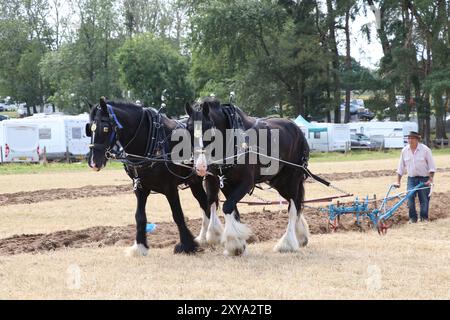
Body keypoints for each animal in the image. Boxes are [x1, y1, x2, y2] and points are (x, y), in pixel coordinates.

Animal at [85, 96, 220, 256]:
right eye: (89, 129)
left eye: (105, 128)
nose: (93, 162)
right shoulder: (140, 187)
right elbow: (139, 216)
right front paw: (140, 246)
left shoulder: (170, 188)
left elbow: (177, 215)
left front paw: (187, 245)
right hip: (194, 181)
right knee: (204, 203)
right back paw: (204, 238)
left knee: (207, 203)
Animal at [185, 96, 312, 256]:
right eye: (188, 129)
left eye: (210, 130)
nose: (200, 166)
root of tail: (297, 129)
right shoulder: (222, 182)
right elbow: (225, 207)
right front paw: (237, 243)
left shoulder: (246, 183)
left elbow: (227, 207)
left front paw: (234, 243)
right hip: (278, 181)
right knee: (296, 203)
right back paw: (300, 236)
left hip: (292, 178)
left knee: (293, 206)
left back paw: (287, 243)